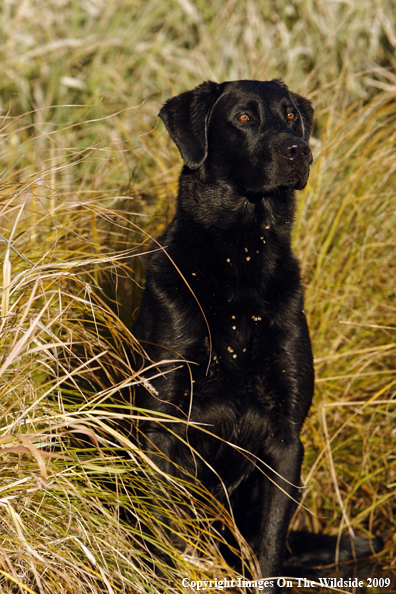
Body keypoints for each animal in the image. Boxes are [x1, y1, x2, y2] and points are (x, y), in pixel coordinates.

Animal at [131, 78, 382, 588]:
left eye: (291, 116)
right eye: (244, 118)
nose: (298, 151)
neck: (241, 255)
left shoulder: (286, 440)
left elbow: (268, 548)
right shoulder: (160, 423)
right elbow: (159, 532)